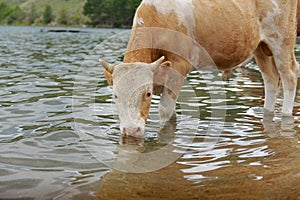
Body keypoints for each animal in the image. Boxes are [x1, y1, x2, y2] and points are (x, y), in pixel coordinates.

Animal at [100, 0, 298, 137]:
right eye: (115, 95)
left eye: (148, 93)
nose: (131, 131)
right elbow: (172, 113)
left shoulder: (179, 65)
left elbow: (164, 109)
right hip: (260, 48)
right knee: (270, 78)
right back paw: (267, 113)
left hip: (282, 39)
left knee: (289, 75)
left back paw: (285, 114)